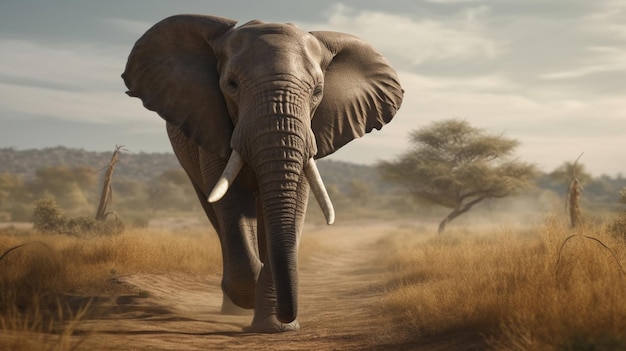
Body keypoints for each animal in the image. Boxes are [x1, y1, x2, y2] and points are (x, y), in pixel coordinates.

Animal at [121, 13, 402, 332]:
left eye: (318, 91)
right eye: (231, 85)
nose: (287, 316)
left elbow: (295, 204)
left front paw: (277, 327)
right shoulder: (212, 123)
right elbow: (231, 203)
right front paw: (249, 298)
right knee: (216, 214)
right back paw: (235, 308)